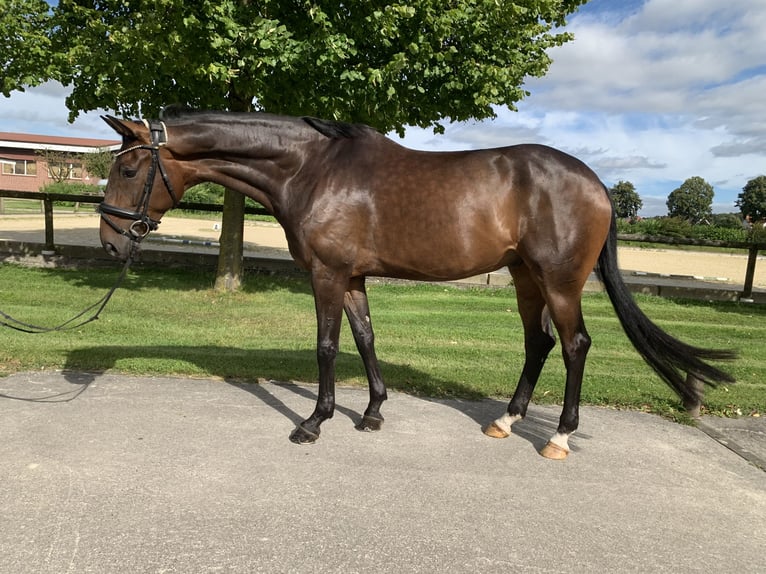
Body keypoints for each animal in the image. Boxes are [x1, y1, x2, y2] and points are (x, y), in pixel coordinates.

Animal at [99, 110, 736, 462]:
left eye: (129, 169)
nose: (110, 243)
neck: (312, 169)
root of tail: (598, 183)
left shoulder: (327, 274)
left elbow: (327, 347)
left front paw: (313, 423)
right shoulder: (353, 277)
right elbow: (365, 340)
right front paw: (372, 413)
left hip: (559, 282)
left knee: (575, 345)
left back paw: (558, 437)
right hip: (525, 277)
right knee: (540, 343)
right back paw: (505, 422)